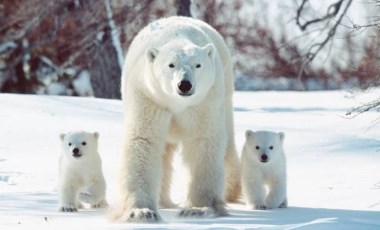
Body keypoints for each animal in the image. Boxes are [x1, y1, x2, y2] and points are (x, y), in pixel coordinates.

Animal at [111, 16, 239, 223]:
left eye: (198, 65)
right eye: (171, 65)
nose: (184, 84)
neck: (176, 103)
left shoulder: (204, 101)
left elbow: (203, 141)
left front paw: (197, 209)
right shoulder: (148, 96)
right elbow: (143, 140)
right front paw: (141, 212)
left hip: (225, 91)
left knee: (227, 145)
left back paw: (230, 193)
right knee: (164, 153)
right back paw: (163, 201)